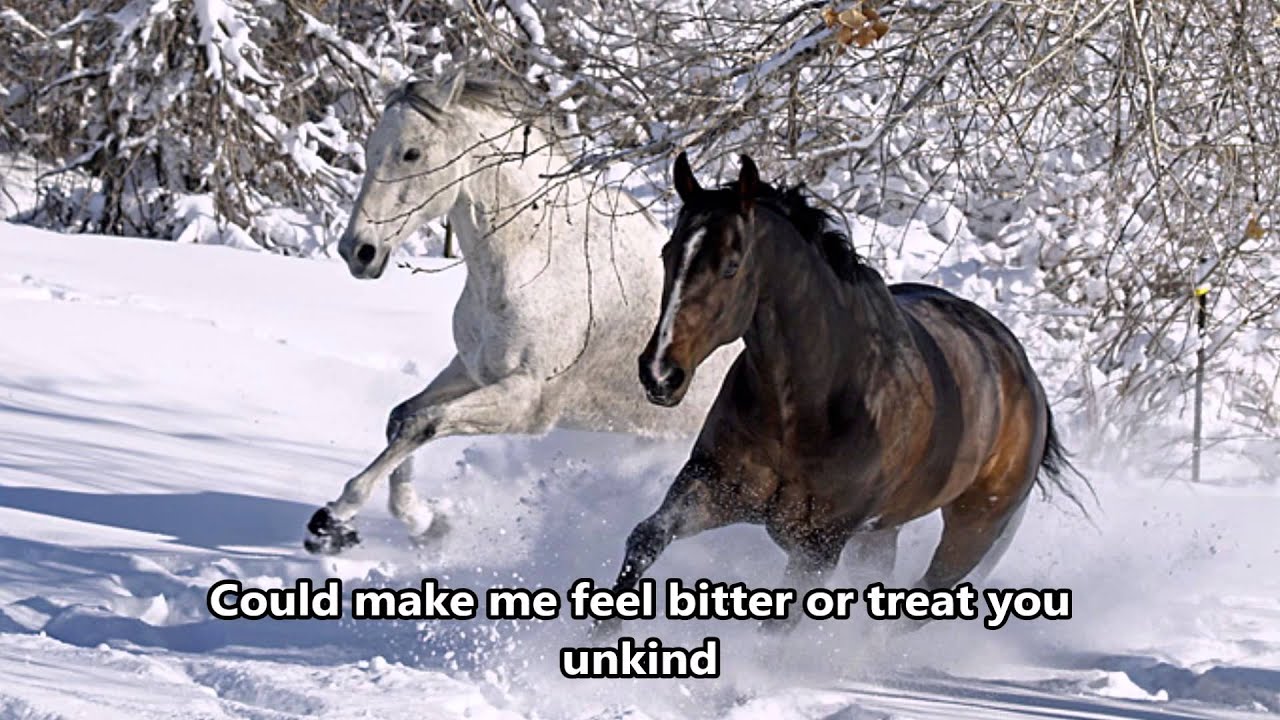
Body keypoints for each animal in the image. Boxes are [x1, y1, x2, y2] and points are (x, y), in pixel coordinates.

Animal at [305, 72, 738, 554]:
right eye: (370, 150)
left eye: (411, 152)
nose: (357, 252)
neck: (533, 256)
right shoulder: (476, 370)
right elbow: (400, 418)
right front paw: (426, 523)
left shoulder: (527, 401)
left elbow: (424, 424)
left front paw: (334, 517)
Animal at [597, 152, 1086, 631]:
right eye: (668, 254)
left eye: (731, 266)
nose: (660, 373)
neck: (812, 404)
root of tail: (1028, 383)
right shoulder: (713, 487)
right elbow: (647, 539)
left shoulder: (818, 547)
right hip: (879, 536)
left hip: (970, 535)